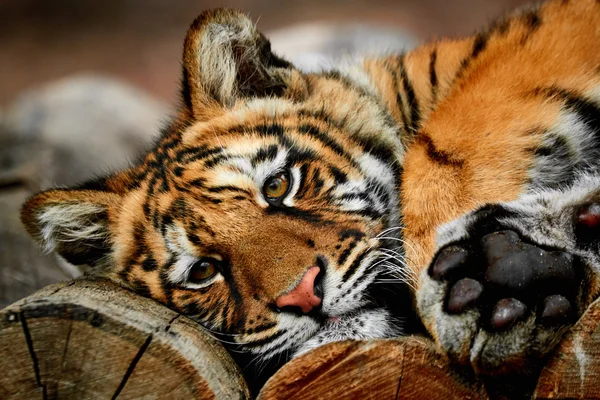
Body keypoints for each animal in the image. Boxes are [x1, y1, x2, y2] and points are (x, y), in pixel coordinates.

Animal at [17, 0, 600, 394]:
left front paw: (493, 276)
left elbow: (442, 147)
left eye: (279, 185)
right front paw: (518, 264)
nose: (302, 296)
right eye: (203, 271)